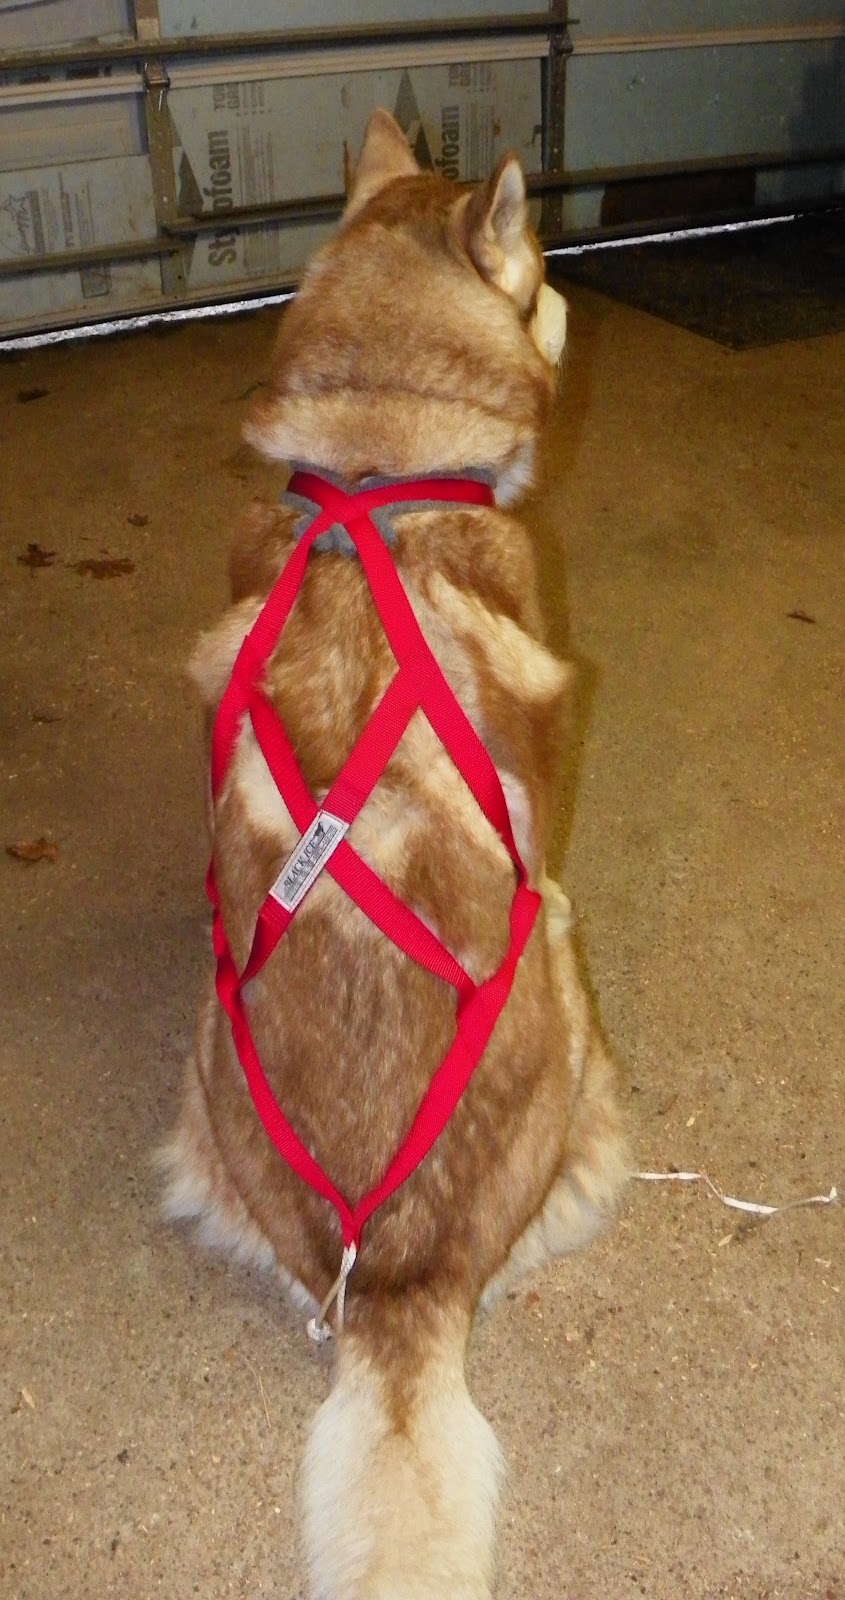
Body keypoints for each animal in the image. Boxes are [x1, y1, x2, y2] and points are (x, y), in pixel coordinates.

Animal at [159, 108, 627, 1600]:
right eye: (540, 273)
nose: (574, 301)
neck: (376, 472)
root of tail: (396, 1288)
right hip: (560, 965)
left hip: (205, 1027)